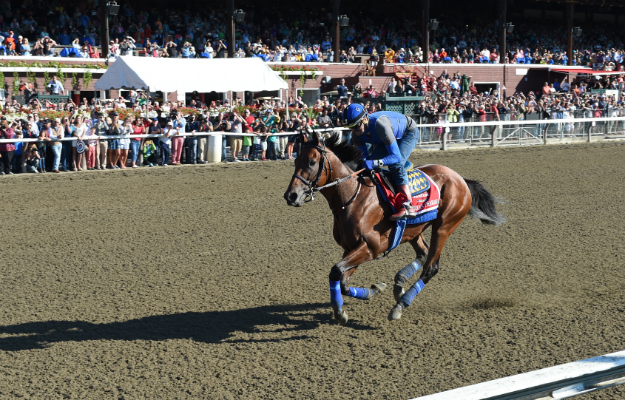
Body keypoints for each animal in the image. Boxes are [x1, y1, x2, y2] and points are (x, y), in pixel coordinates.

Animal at [282, 131, 502, 324]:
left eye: (311, 162)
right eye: (295, 161)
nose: (291, 196)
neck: (353, 196)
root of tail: (460, 179)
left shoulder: (371, 247)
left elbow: (337, 271)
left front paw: (342, 310)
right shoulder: (351, 248)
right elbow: (341, 280)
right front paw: (373, 291)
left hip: (444, 226)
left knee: (431, 267)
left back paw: (400, 305)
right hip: (414, 231)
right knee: (423, 254)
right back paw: (399, 284)